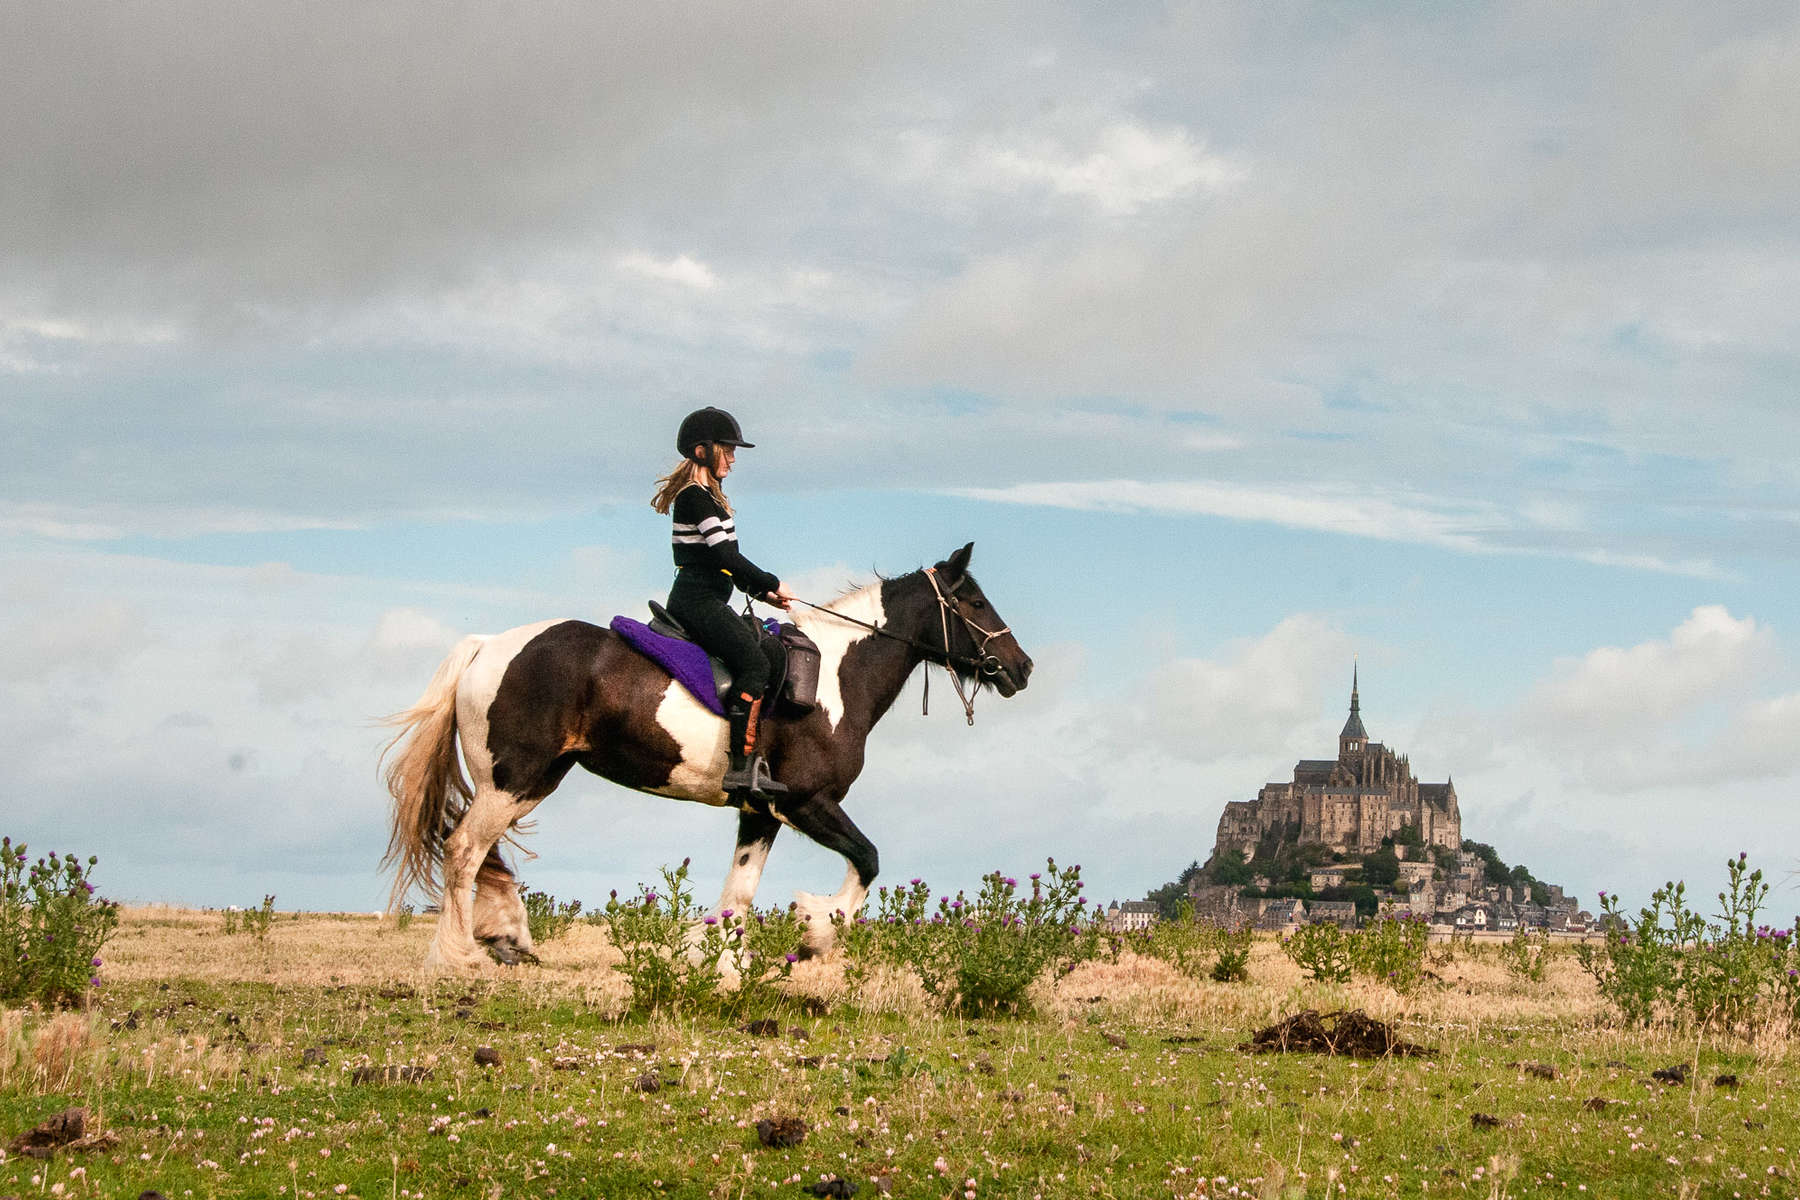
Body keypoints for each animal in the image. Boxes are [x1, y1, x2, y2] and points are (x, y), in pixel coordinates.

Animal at [381, 543, 1036, 978]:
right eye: (974, 601)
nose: (1022, 668)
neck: (836, 676)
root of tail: (487, 646)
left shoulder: (762, 811)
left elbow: (737, 896)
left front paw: (723, 967)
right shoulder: (808, 801)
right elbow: (868, 860)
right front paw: (814, 929)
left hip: (524, 779)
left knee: (479, 850)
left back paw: (507, 937)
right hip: (514, 777)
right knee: (465, 849)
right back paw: (457, 957)